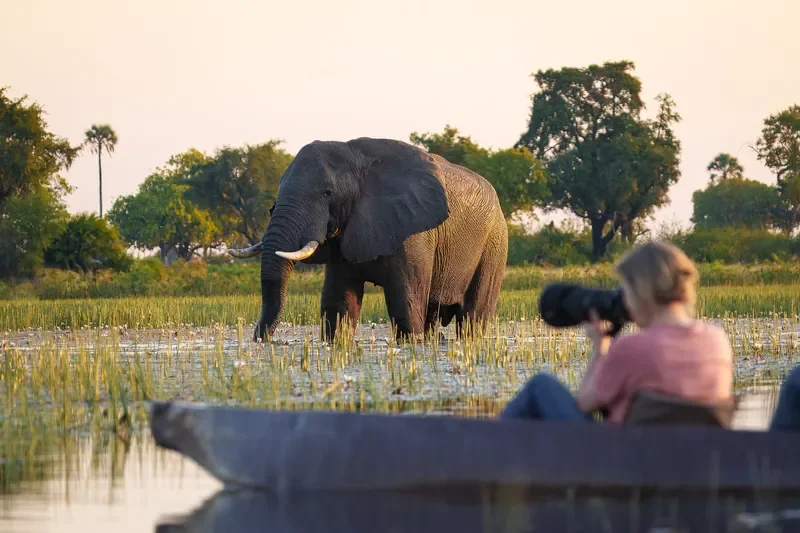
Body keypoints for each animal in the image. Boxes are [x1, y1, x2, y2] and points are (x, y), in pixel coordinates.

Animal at [227, 137, 508, 343]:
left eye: (327, 193)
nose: (261, 339)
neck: (356, 158)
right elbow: (338, 305)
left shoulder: (413, 233)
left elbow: (405, 305)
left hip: (495, 244)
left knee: (473, 317)